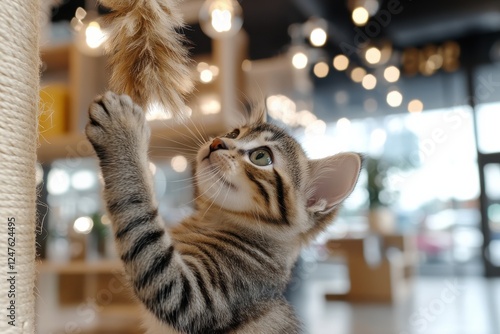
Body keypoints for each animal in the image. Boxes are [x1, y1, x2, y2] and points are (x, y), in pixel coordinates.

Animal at [85, 92, 360, 334]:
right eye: (234, 133)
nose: (217, 142)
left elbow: (137, 212)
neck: (210, 219)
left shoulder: (192, 295)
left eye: (261, 156)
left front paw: (123, 132)